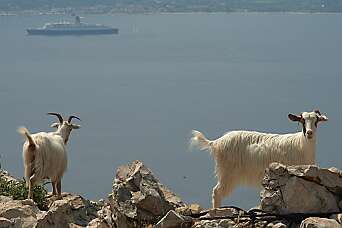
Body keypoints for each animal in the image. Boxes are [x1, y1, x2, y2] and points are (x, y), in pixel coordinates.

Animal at [191, 109, 328, 208]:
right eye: (302, 120)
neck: (301, 145)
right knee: (217, 192)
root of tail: (216, 142)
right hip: (227, 172)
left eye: (316, 120)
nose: (309, 133)